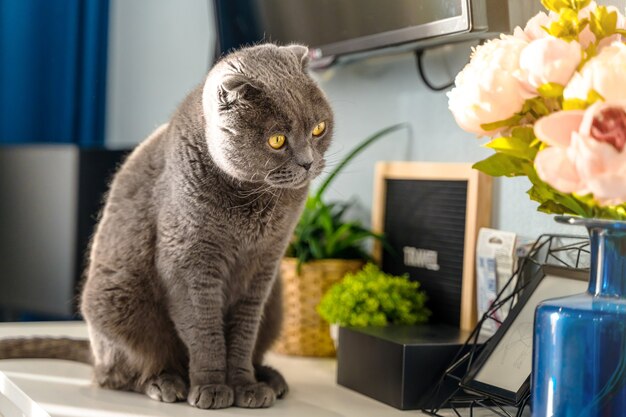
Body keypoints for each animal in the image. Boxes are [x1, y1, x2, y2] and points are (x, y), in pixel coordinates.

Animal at [0, 44, 332, 408]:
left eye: (319, 129)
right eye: (277, 140)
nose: (308, 163)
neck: (255, 199)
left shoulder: (265, 265)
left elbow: (244, 334)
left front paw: (245, 386)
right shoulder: (188, 261)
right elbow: (205, 331)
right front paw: (213, 388)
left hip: (276, 305)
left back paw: (270, 377)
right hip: (116, 303)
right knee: (119, 372)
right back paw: (165, 382)